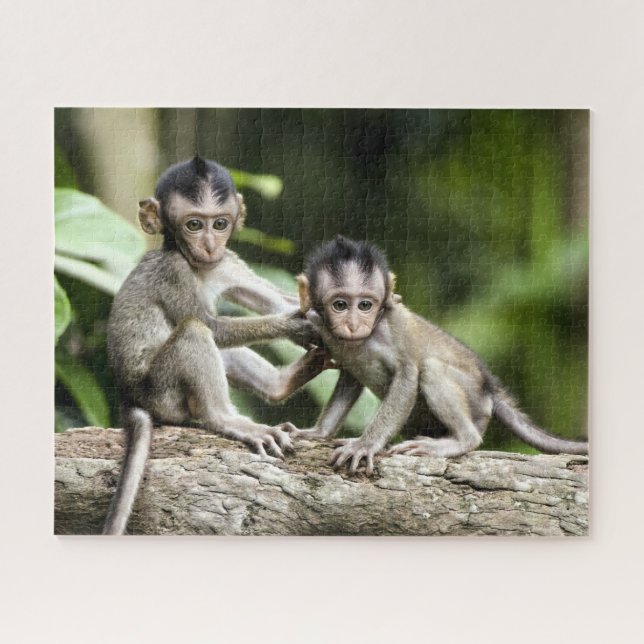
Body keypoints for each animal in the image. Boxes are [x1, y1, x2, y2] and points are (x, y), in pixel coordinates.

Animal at [103, 156, 325, 535]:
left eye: (220, 223)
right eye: (193, 224)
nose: (209, 245)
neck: (198, 267)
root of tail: (130, 398)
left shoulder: (227, 262)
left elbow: (275, 301)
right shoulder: (174, 271)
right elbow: (211, 325)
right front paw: (295, 325)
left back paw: (282, 384)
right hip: (162, 393)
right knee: (195, 332)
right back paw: (225, 419)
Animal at [293, 236, 588, 476]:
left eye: (365, 305)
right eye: (340, 305)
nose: (354, 325)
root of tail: (489, 388)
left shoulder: (396, 325)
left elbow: (408, 376)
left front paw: (365, 444)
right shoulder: (325, 330)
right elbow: (350, 378)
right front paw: (318, 433)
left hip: (475, 402)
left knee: (432, 369)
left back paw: (460, 440)